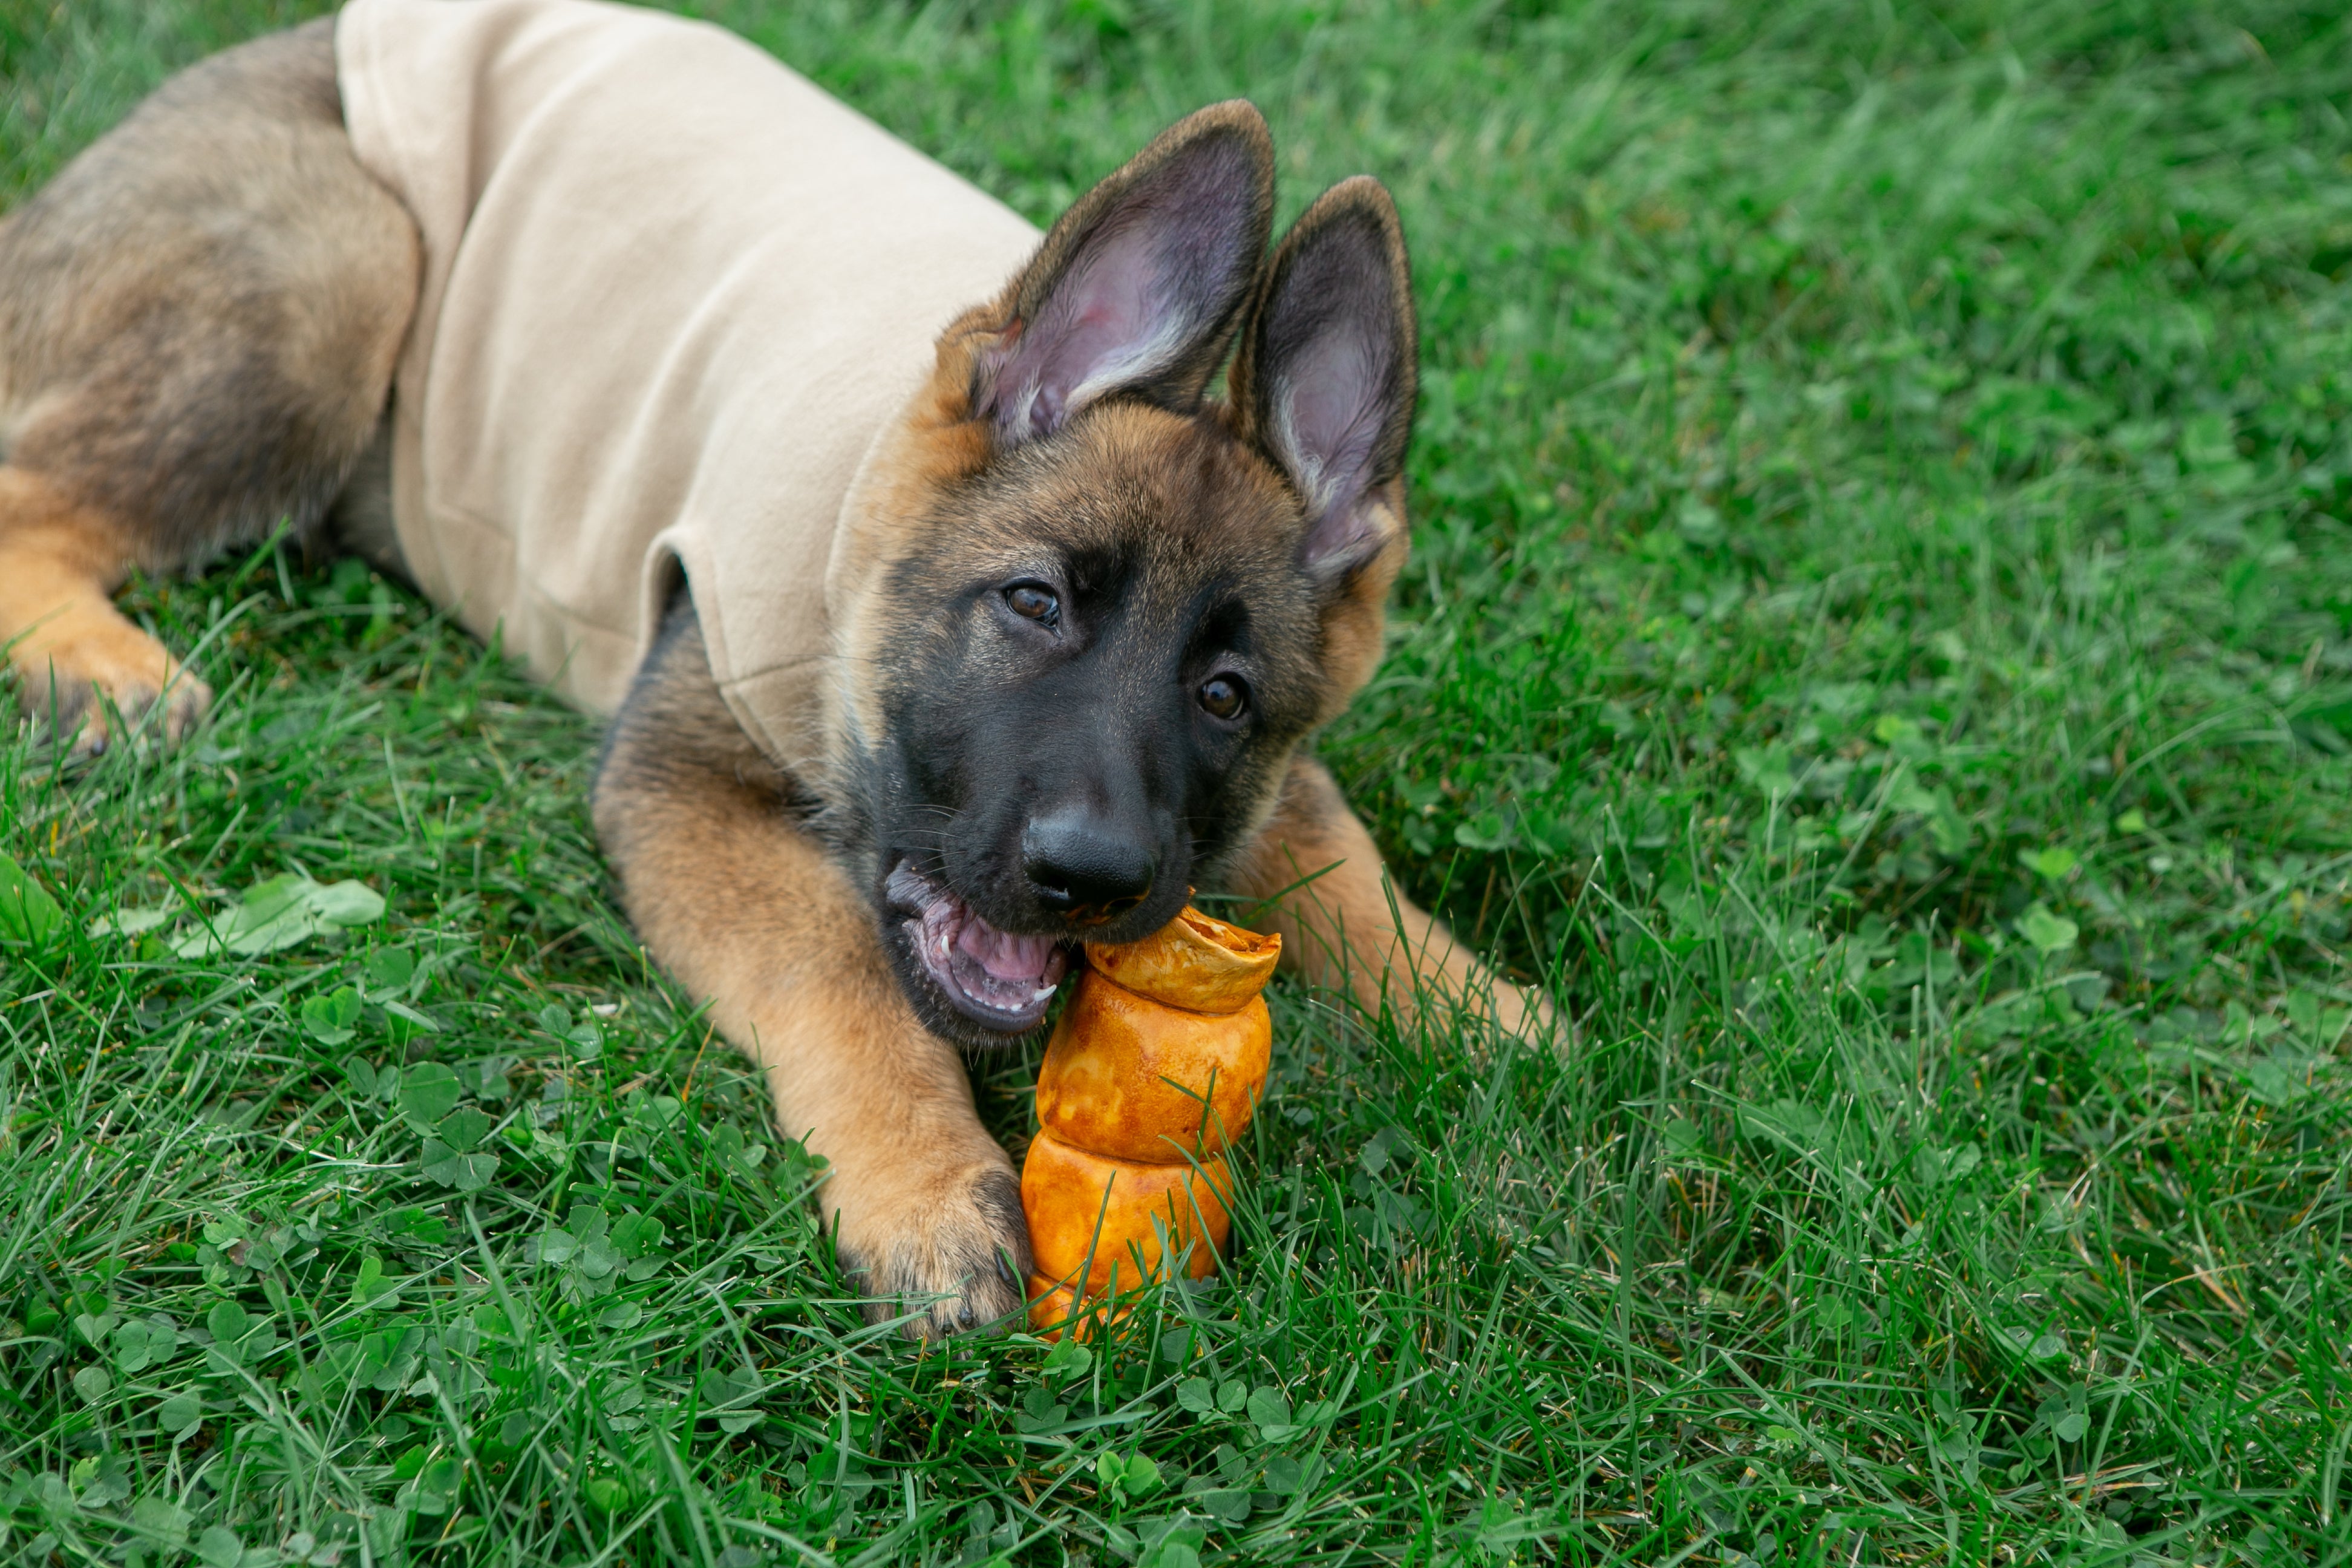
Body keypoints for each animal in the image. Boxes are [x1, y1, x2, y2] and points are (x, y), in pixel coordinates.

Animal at [0, 6, 1552, 1344]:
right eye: (1033, 602)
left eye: (1224, 697)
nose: (1093, 875)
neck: (852, 559)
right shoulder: (684, 779)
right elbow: (841, 969)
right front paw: (924, 1184)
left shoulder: (1269, 793)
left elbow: (1344, 867)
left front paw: (1484, 1017)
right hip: (341, 264)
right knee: (30, 487)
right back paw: (99, 667)